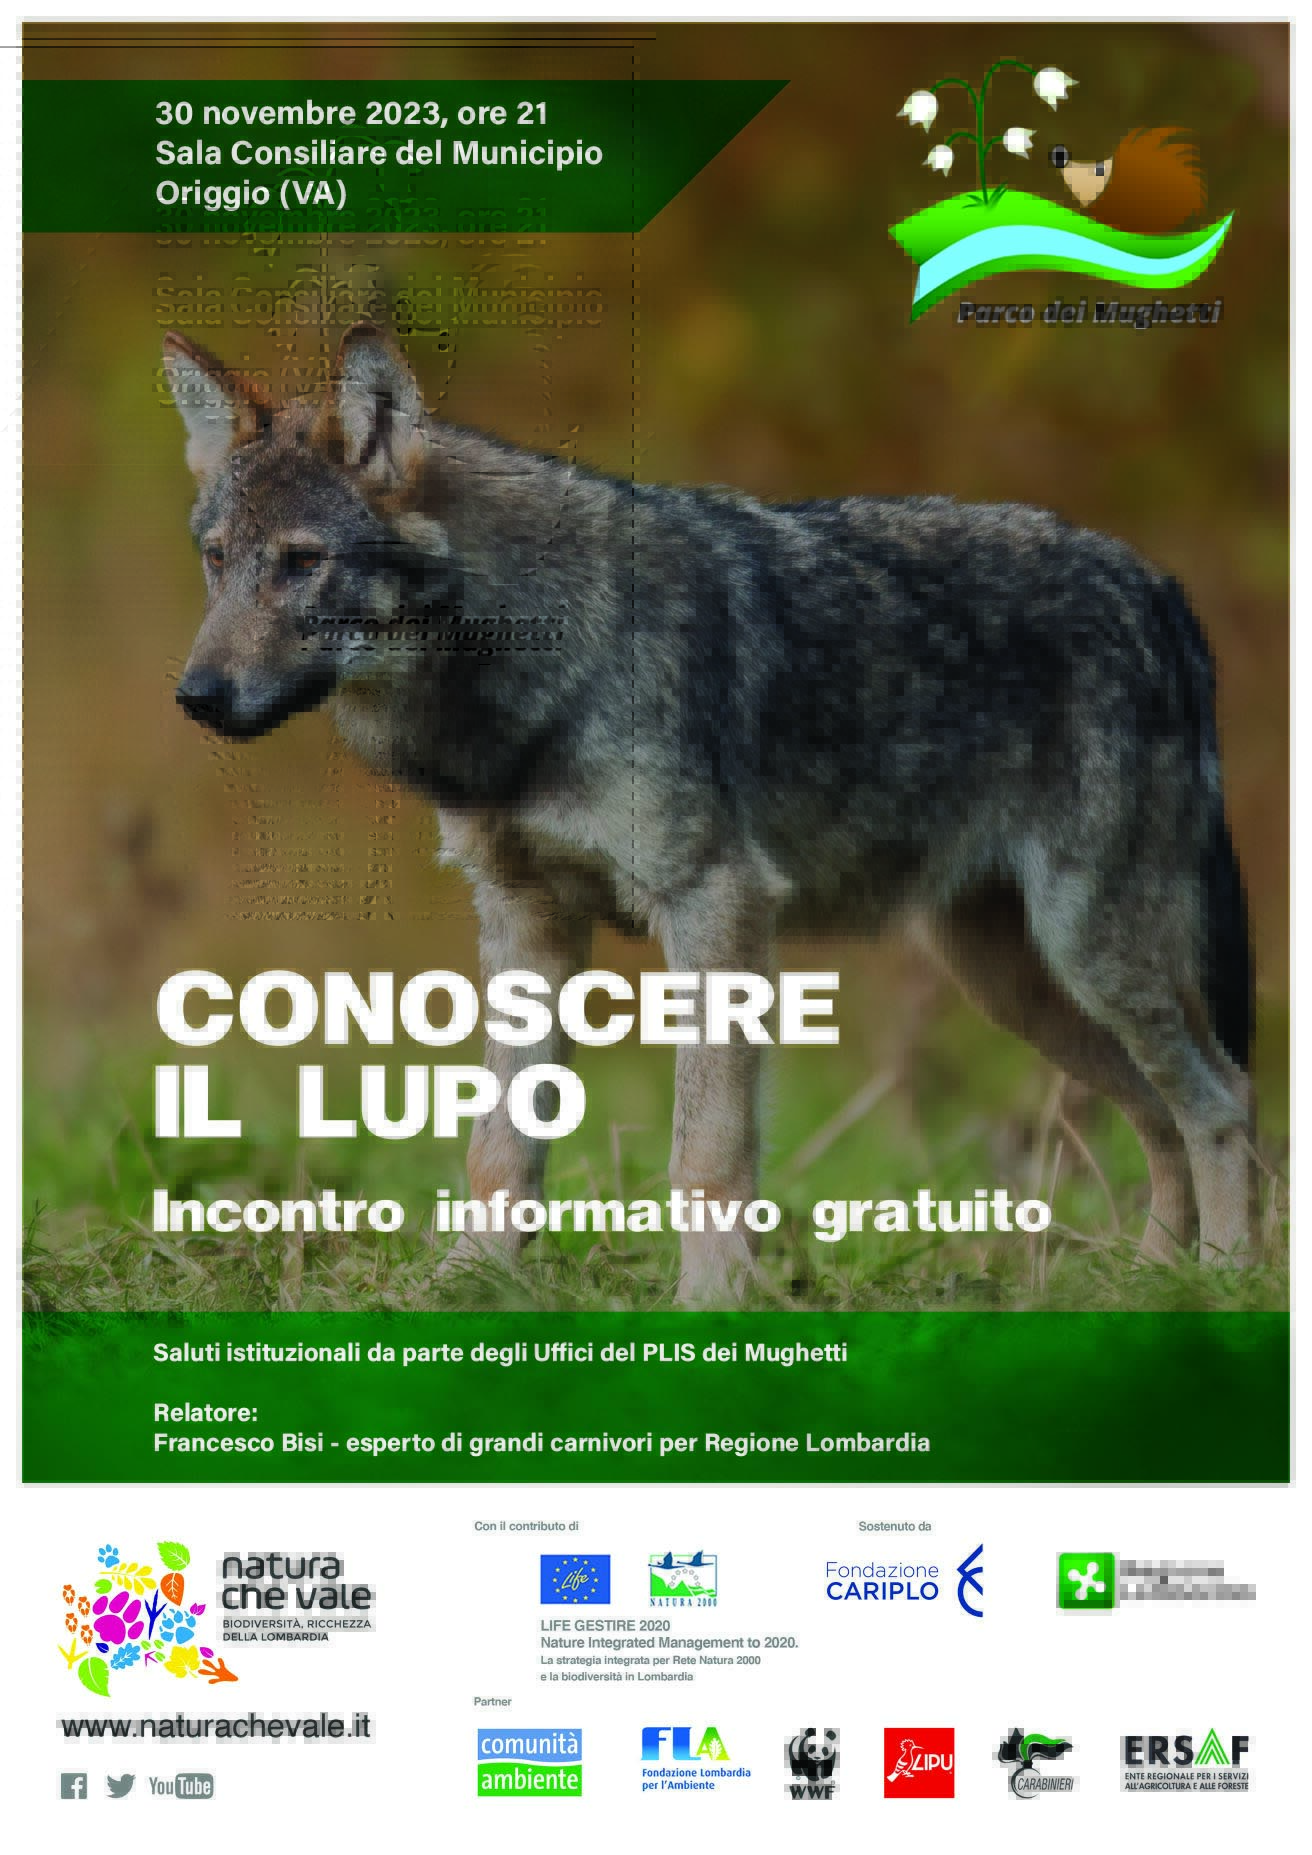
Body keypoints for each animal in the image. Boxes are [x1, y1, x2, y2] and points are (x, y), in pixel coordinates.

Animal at [164, 321, 1255, 1303]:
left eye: (301, 562)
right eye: (217, 560)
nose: (197, 696)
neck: (529, 675)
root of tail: (1157, 587)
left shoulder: (715, 906)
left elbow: (707, 1149)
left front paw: (710, 1303)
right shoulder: (524, 921)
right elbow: (499, 1144)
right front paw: (460, 1285)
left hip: (1092, 960)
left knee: (1223, 1102)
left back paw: (1225, 1280)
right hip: (1018, 985)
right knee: (1162, 1115)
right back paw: (1154, 1281)